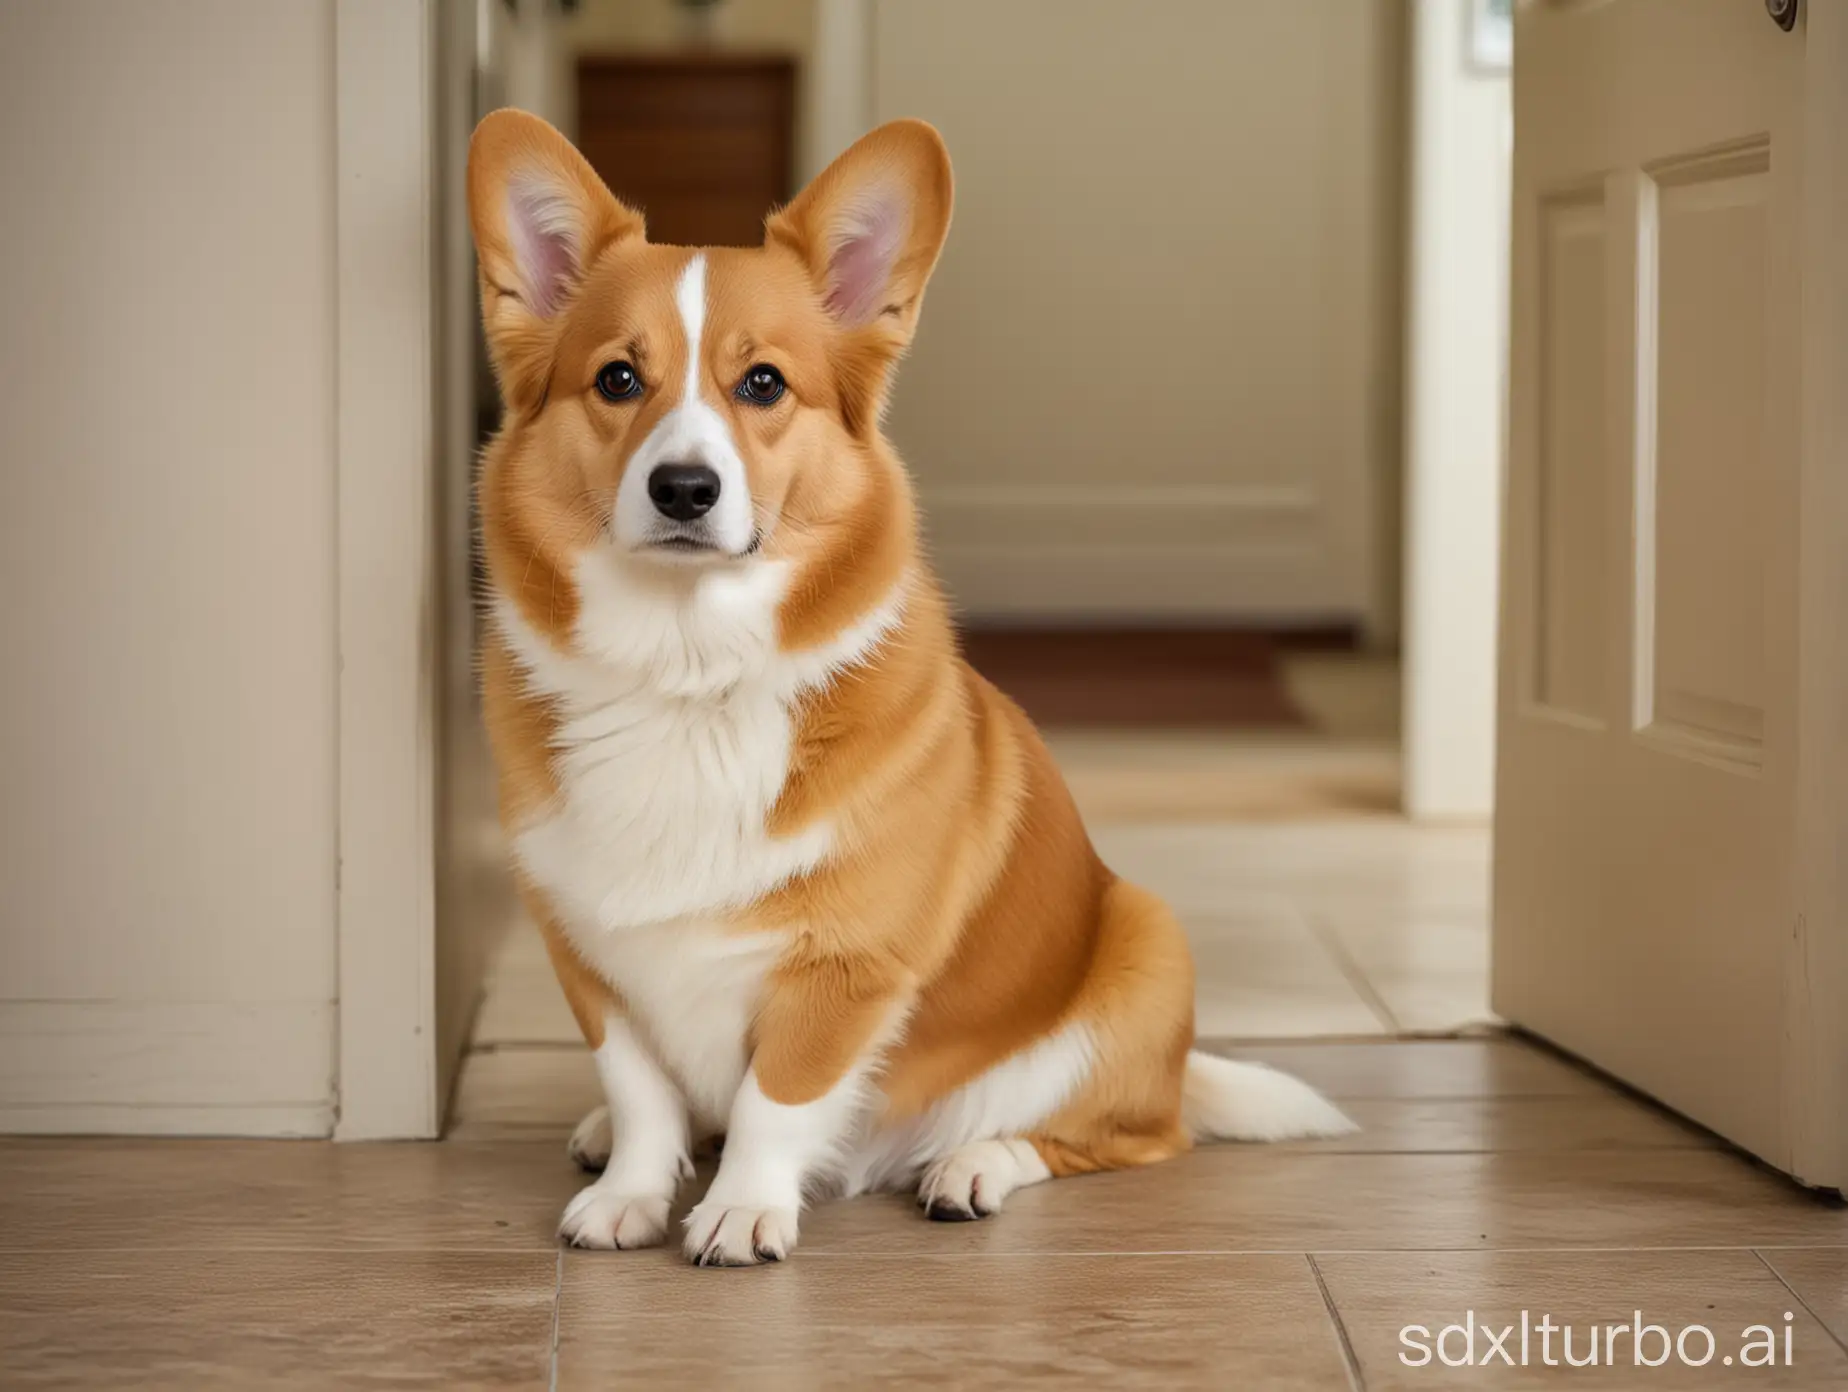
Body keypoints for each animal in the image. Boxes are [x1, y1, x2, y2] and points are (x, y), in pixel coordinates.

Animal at [465, 105, 1360, 1257]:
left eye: (764, 384)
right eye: (619, 378)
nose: (684, 488)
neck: (686, 672)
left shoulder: (847, 969)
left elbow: (776, 1098)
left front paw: (742, 1211)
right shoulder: (590, 957)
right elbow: (641, 1090)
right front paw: (630, 1190)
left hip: (1144, 949)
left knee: (1110, 1135)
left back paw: (972, 1165)